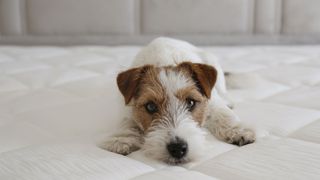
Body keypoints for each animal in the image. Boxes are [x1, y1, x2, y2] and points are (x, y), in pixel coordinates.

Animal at [102, 38, 255, 165]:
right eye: (150, 106)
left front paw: (238, 130)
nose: (177, 148)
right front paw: (121, 139)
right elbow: (127, 122)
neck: (164, 61)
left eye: (191, 102)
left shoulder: (212, 102)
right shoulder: (128, 106)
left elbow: (224, 114)